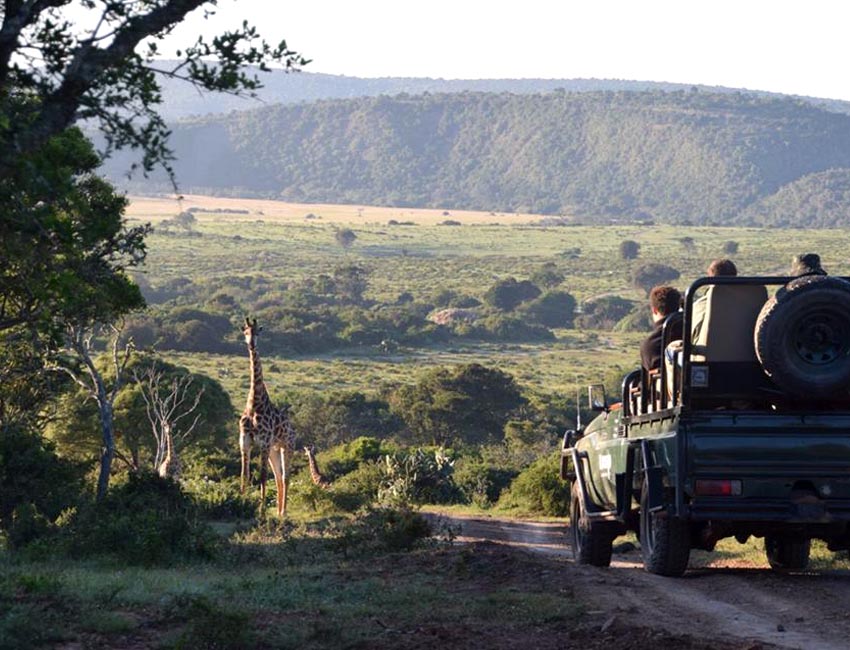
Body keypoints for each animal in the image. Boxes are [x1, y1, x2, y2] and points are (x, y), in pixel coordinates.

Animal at [239, 317, 296, 517]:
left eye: (258, 332)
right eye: (246, 332)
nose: (251, 344)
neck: (254, 402)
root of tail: (294, 430)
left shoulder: (263, 442)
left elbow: (262, 475)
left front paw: (261, 509)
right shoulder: (245, 441)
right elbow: (245, 474)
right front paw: (242, 500)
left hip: (287, 446)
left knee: (286, 476)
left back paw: (284, 511)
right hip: (274, 449)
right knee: (278, 476)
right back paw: (278, 511)